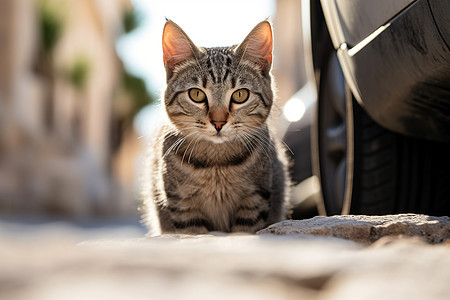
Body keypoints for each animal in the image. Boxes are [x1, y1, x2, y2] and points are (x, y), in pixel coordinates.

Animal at [142, 19, 290, 237]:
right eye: (196, 94)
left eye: (240, 95)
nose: (218, 123)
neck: (216, 164)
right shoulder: (182, 204)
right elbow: (194, 233)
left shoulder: (255, 199)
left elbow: (244, 232)